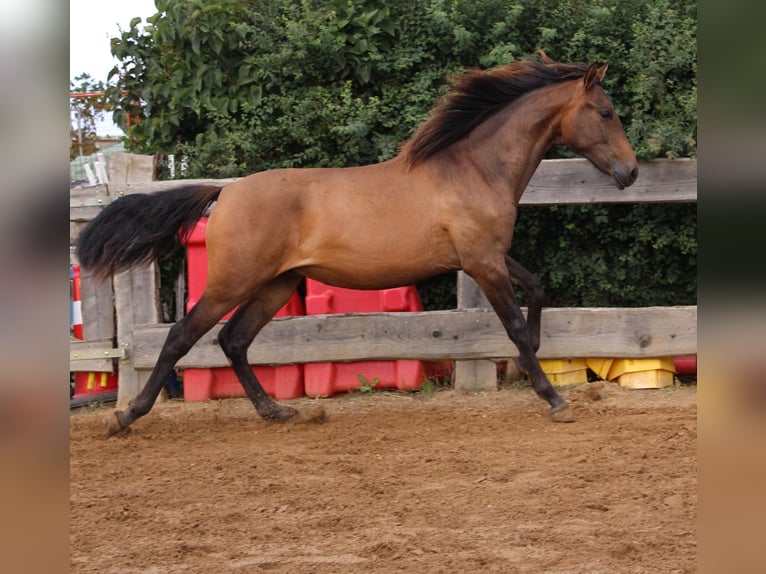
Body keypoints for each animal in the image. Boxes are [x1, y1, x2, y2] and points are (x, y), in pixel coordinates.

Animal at [78, 54, 640, 436]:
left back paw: (277, 410)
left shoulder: (486, 256)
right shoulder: (483, 262)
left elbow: (538, 288)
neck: (474, 169)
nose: (631, 172)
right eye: (606, 111)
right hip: (232, 281)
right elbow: (517, 326)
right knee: (183, 337)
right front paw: (553, 398)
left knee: (233, 340)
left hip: (276, 284)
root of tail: (226, 191)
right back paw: (126, 417)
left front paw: (535, 361)